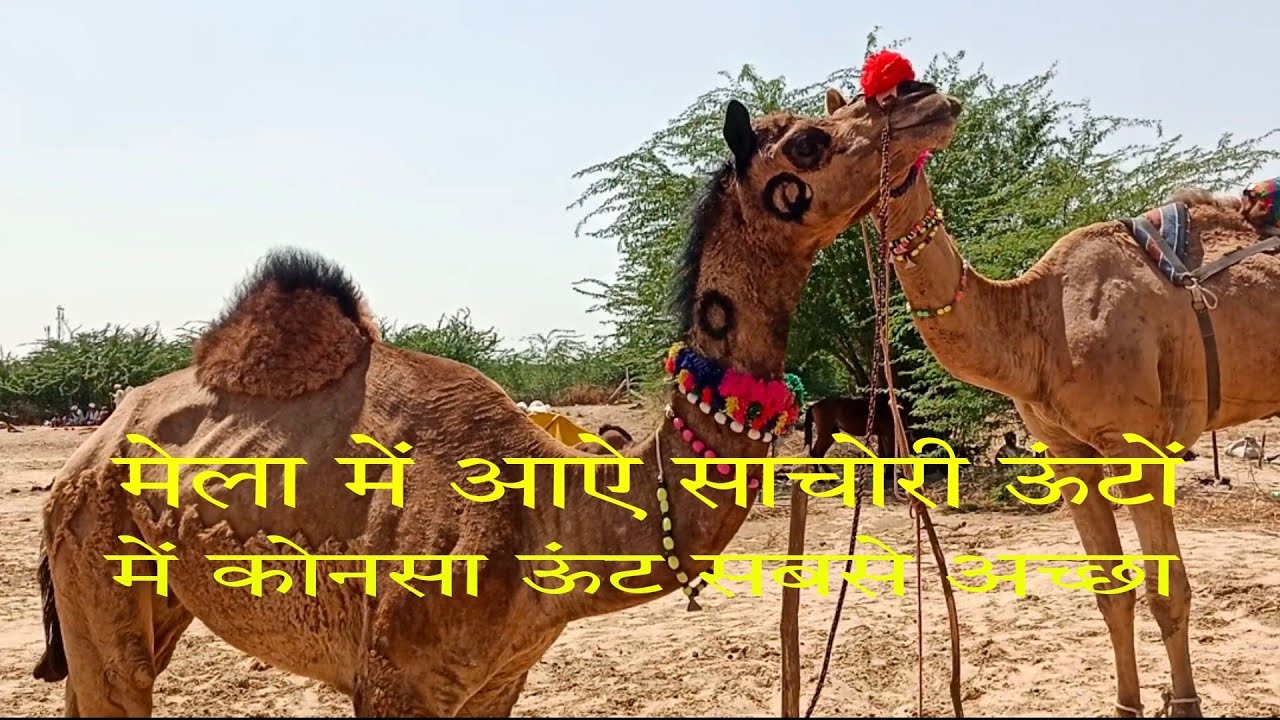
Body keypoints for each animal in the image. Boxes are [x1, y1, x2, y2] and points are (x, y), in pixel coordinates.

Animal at [31, 92, 963, 717]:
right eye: (808, 141)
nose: (924, 97)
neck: (552, 509)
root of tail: (92, 442)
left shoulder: (497, 678)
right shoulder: (392, 679)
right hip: (91, 555)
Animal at [822, 51, 1280, 717]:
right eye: (847, 120)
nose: (933, 99)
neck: (1039, 320)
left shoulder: (1135, 443)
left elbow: (1167, 591)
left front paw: (1185, 704)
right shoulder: (1066, 449)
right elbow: (1109, 590)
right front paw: (1126, 705)